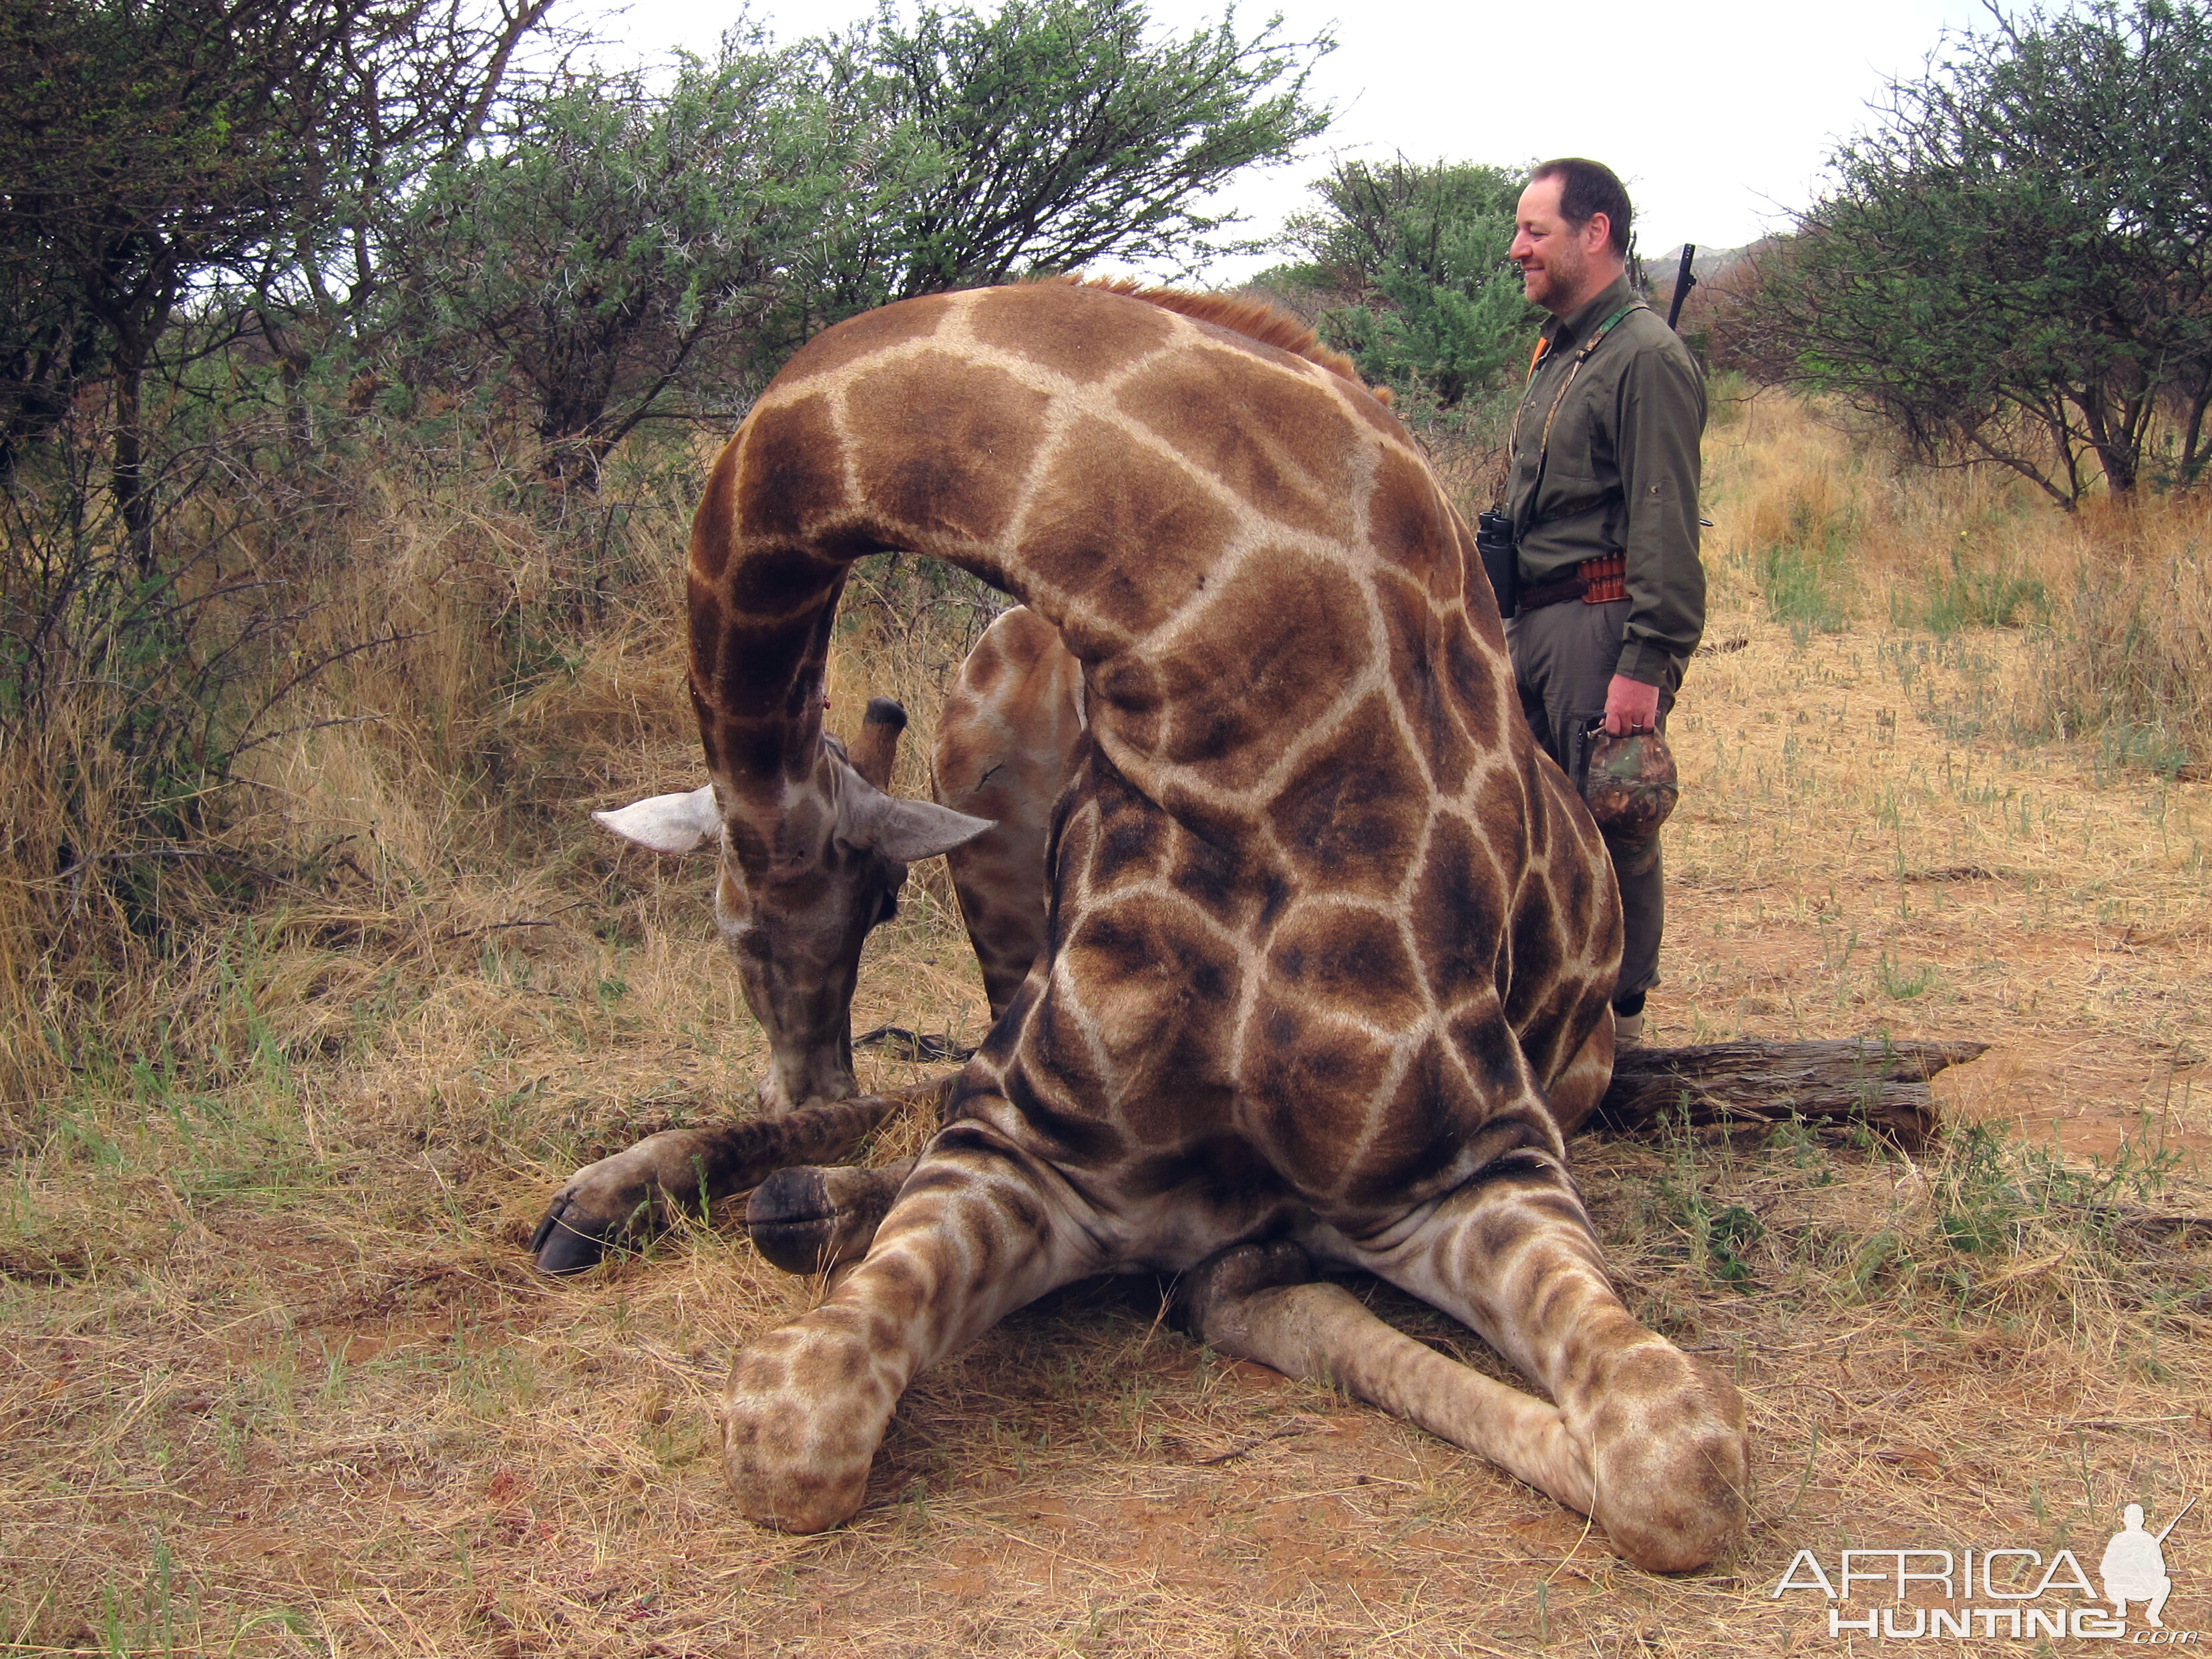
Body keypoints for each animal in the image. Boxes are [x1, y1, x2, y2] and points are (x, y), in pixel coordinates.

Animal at [535, 273, 1742, 1575]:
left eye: (874, 902)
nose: (798, 1073)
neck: (1235, 704)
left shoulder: (1485, 1160)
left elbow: (1676, 1456)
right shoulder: (1029, 1146)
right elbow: (791, 1425)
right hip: (988, 755)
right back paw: (616, 1200)